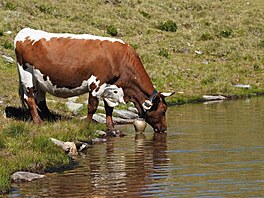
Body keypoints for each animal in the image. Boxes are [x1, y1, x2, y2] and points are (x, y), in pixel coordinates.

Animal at [14, 28, 174, 135]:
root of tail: (24, 32)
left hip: (40, 79)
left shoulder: (111, 88)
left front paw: (112, 129)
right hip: (26, 73)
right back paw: (38, 121)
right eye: (164, 110)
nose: (165, 129)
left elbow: (109, 108)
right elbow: (92, 106)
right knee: (29, 98)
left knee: (40, 100)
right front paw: (86, 125)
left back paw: (50, 119)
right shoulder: (97, 84)